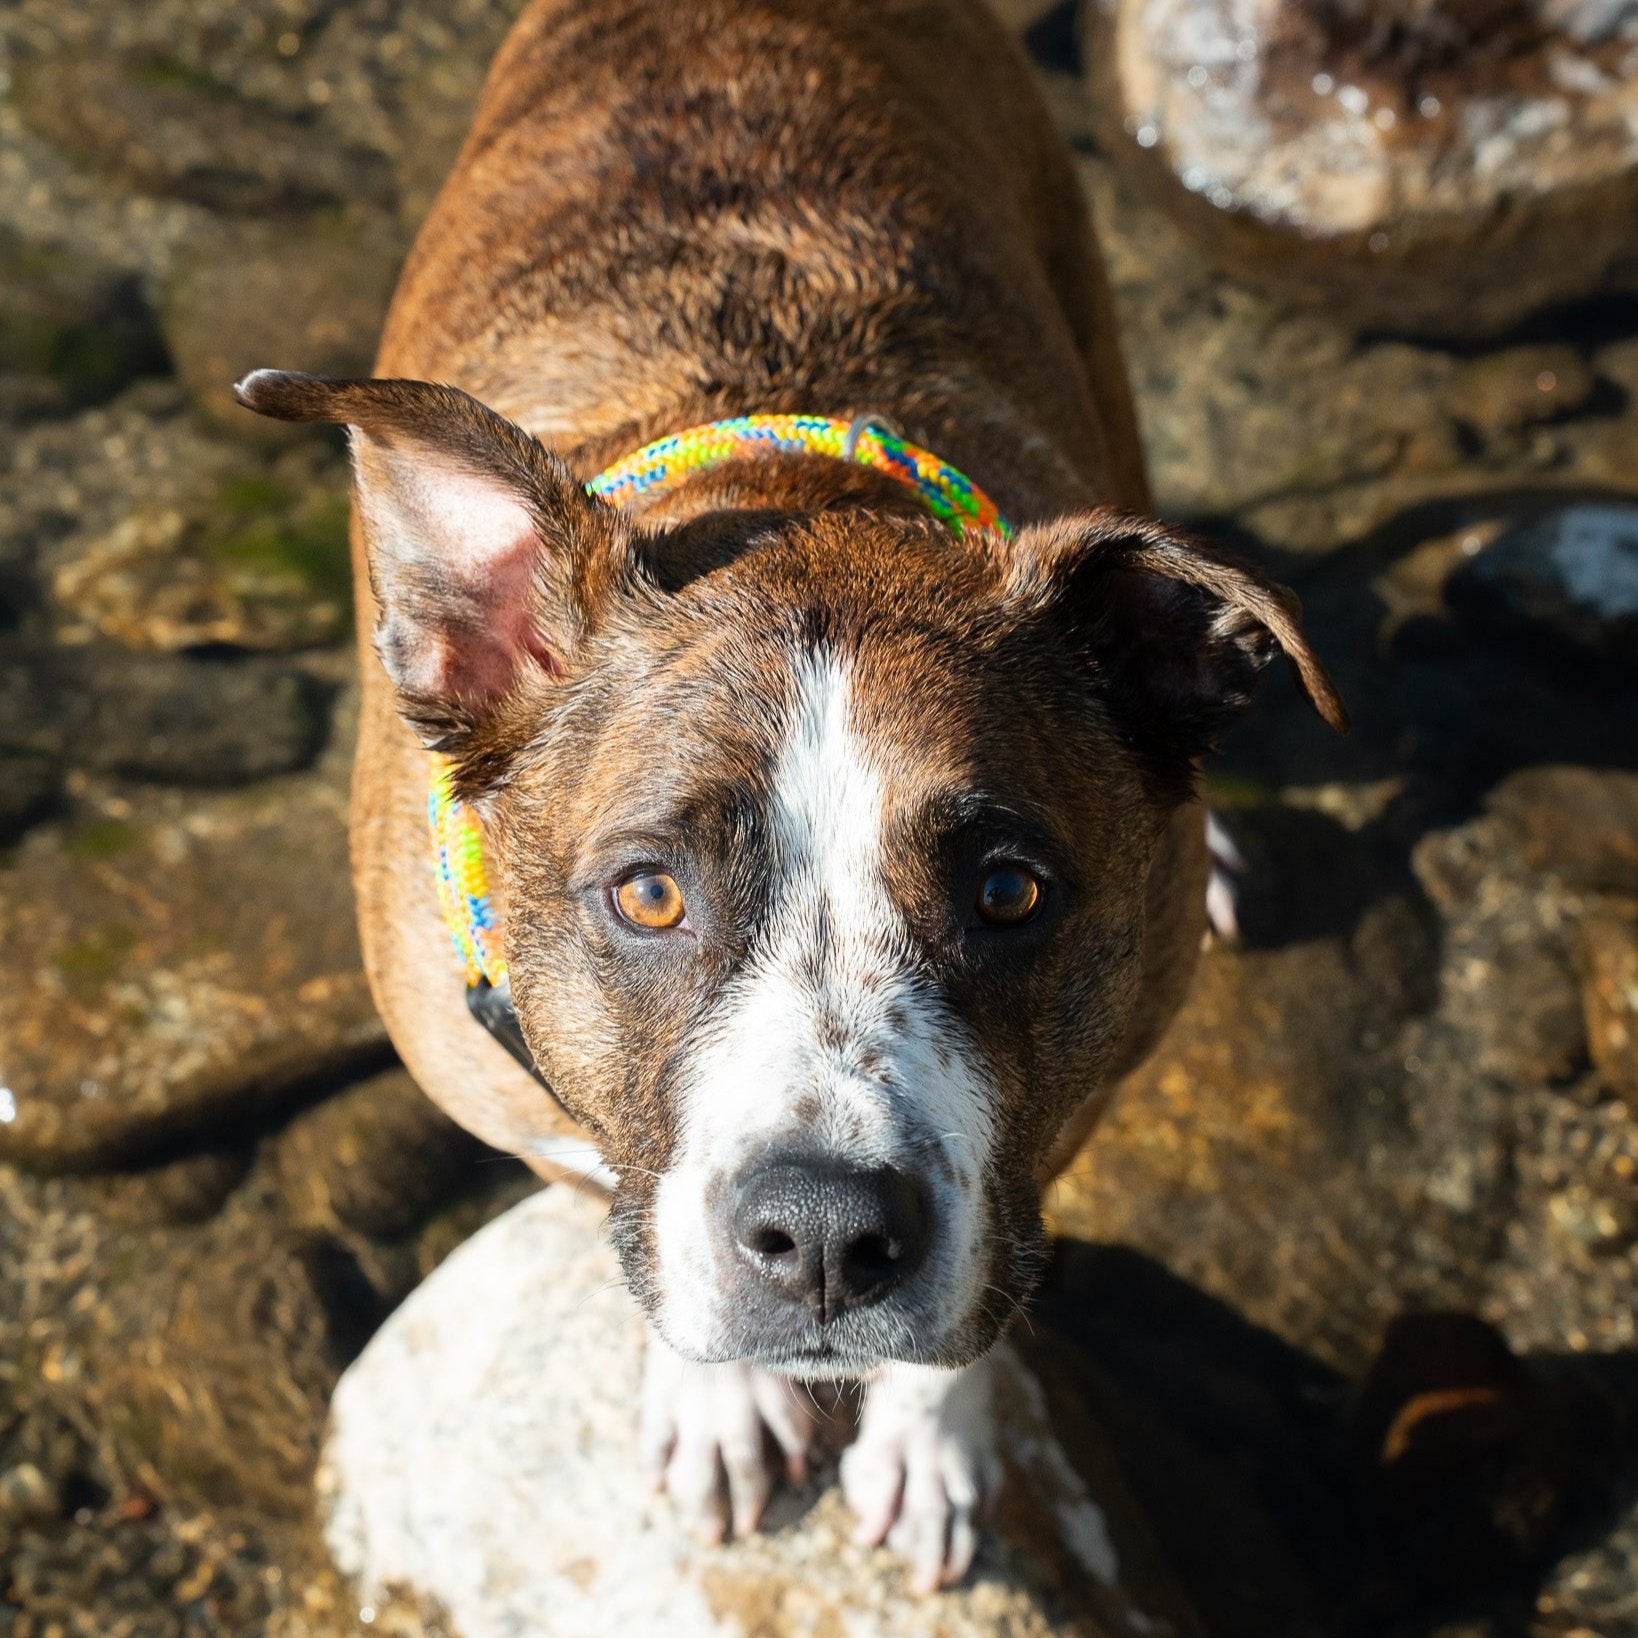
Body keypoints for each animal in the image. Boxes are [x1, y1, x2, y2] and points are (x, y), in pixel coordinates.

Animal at [239, 0, 1343, 1592]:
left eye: (1009, 890)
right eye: (647, 894)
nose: (825, 1235)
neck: (785, 492)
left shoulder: (1080, 1088)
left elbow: (984, 1289)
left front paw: (933, 1442)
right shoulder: (513, 1107)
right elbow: (617, 1201)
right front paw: (717, 1399)